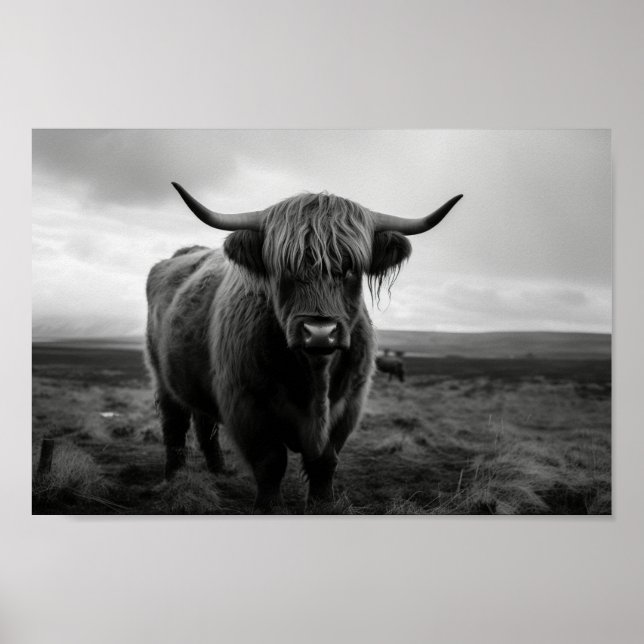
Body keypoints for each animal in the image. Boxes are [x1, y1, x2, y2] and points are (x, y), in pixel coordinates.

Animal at [145, 183, 462, 512]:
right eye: (283, 268)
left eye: (351, 269)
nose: (320, 333)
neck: (315, 377)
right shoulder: (247, 403)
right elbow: (270, 462)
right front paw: (269, 507)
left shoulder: (350, 402)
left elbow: (324, 461)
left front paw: (323, 504)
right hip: (162, 376)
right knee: (175, 425)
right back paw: (173, 479)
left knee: (204, 422)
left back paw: (219, 471)